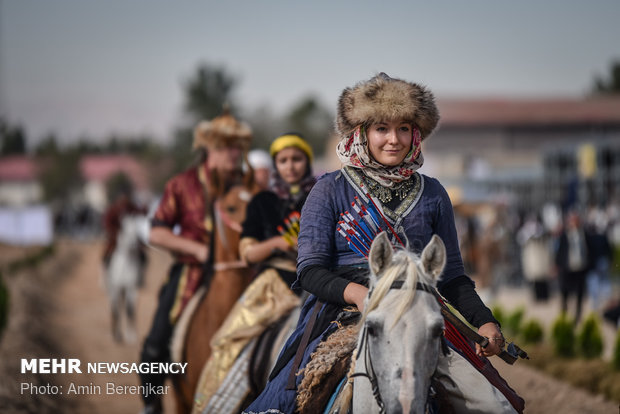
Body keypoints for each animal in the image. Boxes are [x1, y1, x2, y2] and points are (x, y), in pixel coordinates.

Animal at [105, 213, 148, 342]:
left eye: (137, 231)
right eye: (123, 229)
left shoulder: (131, 288)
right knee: (114, 307)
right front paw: (117, 336)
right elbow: (116, 311)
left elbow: (130, 310)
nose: (134, 244)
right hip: (113, 289)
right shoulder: (116, 288)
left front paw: (130, 336)